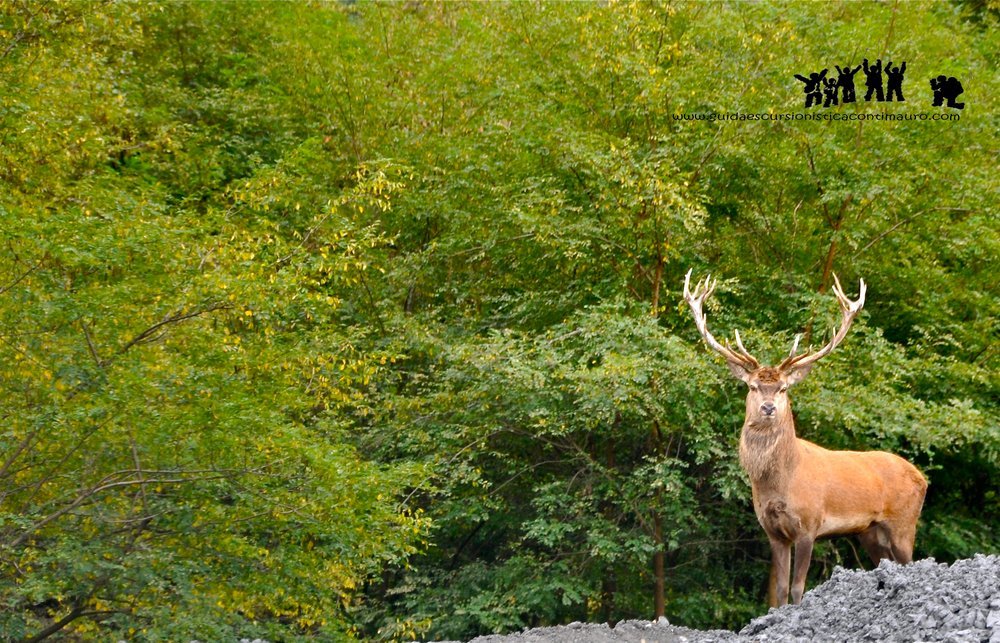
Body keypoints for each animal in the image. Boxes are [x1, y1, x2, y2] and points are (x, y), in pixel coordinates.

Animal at [682, 270, 927, 608]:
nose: (768, 407)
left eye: (783, 388)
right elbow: (781, 588)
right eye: (753, 386)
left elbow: (798, 588)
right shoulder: (773, 531)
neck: (780, 482)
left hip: (904, 522)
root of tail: (923, 478)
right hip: (870, 532)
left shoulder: (809, 525)